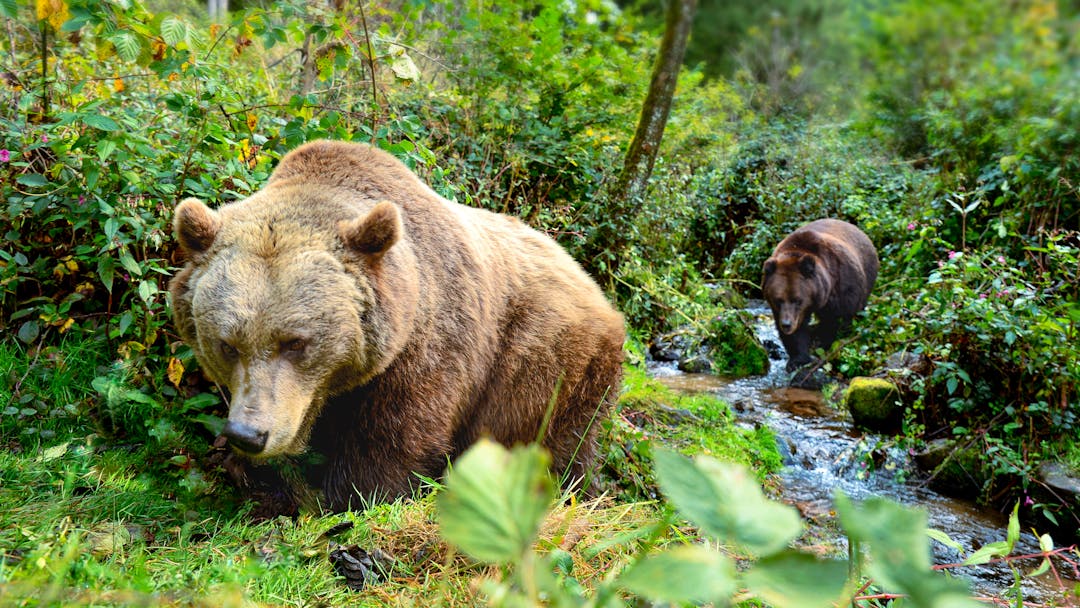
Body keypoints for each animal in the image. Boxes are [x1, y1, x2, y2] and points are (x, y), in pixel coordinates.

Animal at [167, 140, 626, 511]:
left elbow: (395, 440)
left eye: (295, 342)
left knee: (553, 443)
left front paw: (348, 496)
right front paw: (251, 472)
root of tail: (589, 278)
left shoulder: (428, 346)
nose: (248, 433)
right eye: (228, 344)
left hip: (550, 366)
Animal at [760, 219, 876, 371]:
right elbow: (797, 333)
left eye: (797, 300)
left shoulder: (842, 287)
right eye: (778, 300)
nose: (787, 324)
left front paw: (824, 344)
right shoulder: (783, 311)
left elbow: (837, 320)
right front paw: (798, 360)